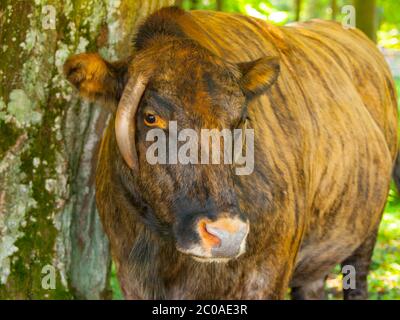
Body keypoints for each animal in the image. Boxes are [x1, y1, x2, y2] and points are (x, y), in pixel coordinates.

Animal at [63, 6, 396, 298]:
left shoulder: (268, 274)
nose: (227, 234)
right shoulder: (131, 275)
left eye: (242, 119)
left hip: (366, 235)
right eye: (151, 116)